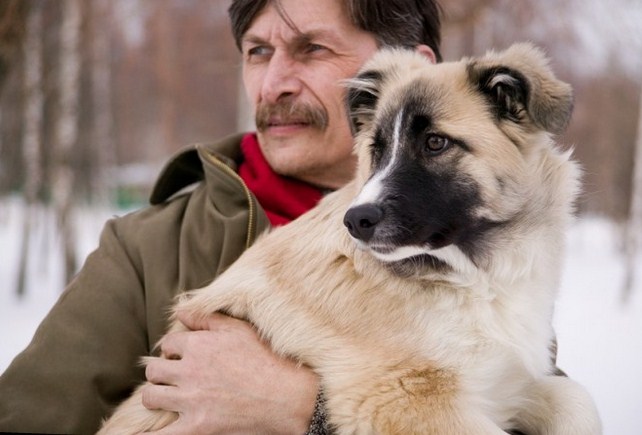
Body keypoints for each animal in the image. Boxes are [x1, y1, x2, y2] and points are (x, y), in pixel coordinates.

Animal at [100, 43, 600, 435]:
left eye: (436, 143)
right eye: (377, 150)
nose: (356, 220)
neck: (472, 276)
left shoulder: (504, 382)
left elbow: (578, 402)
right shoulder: (405, 399)